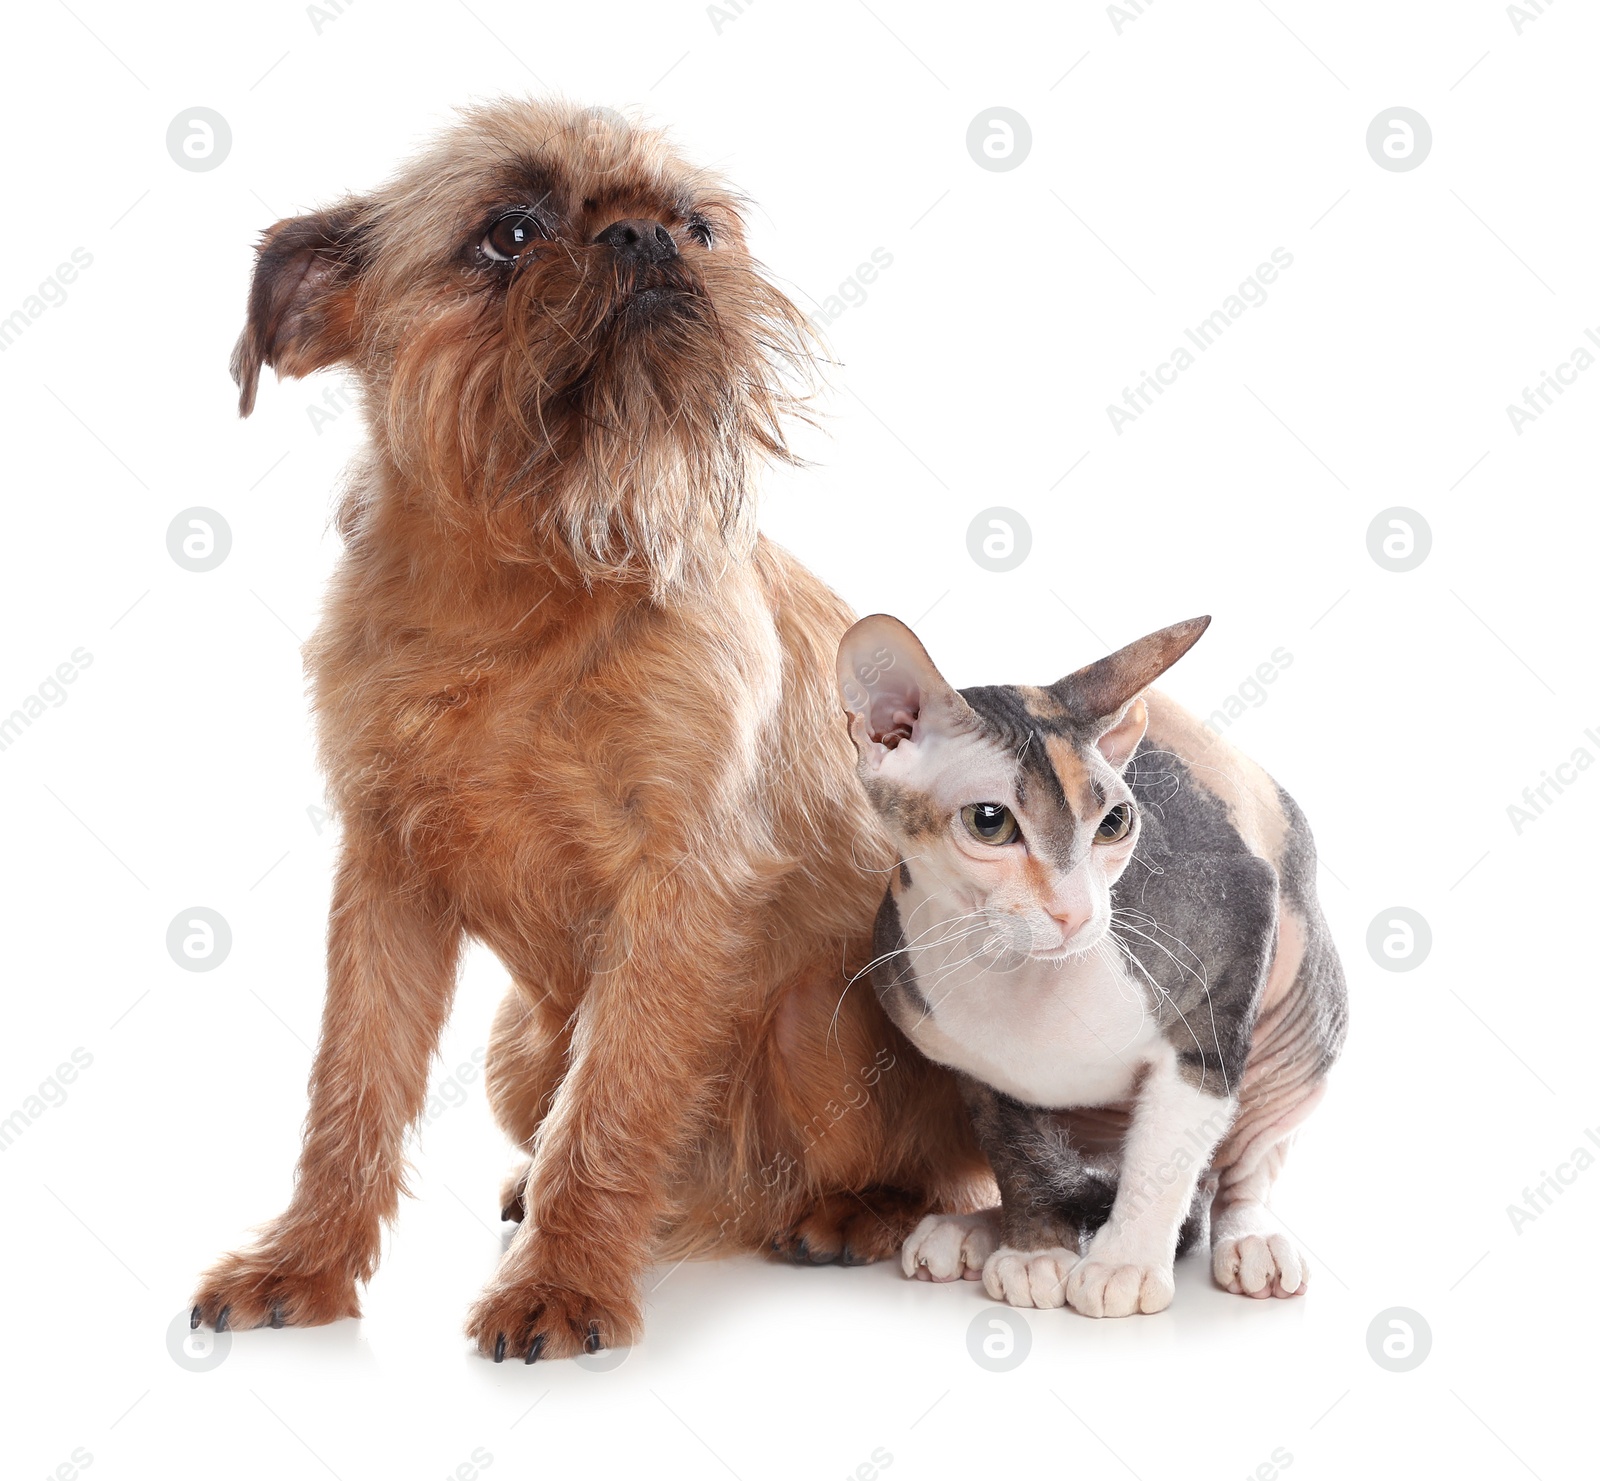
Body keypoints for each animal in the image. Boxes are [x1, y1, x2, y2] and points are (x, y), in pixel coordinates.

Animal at [187, 98, 985, 1362]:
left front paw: (560, 1286)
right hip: (518, 1045)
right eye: (510, 231)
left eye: (698, 225)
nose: (645, 237)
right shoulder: (384, 879)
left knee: (940, 1170)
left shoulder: (681, 884)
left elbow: (612, 1099)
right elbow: (351, 1083)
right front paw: (302, 1261)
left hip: (815, 1015)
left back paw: (848, 1214)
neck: (520, 582)